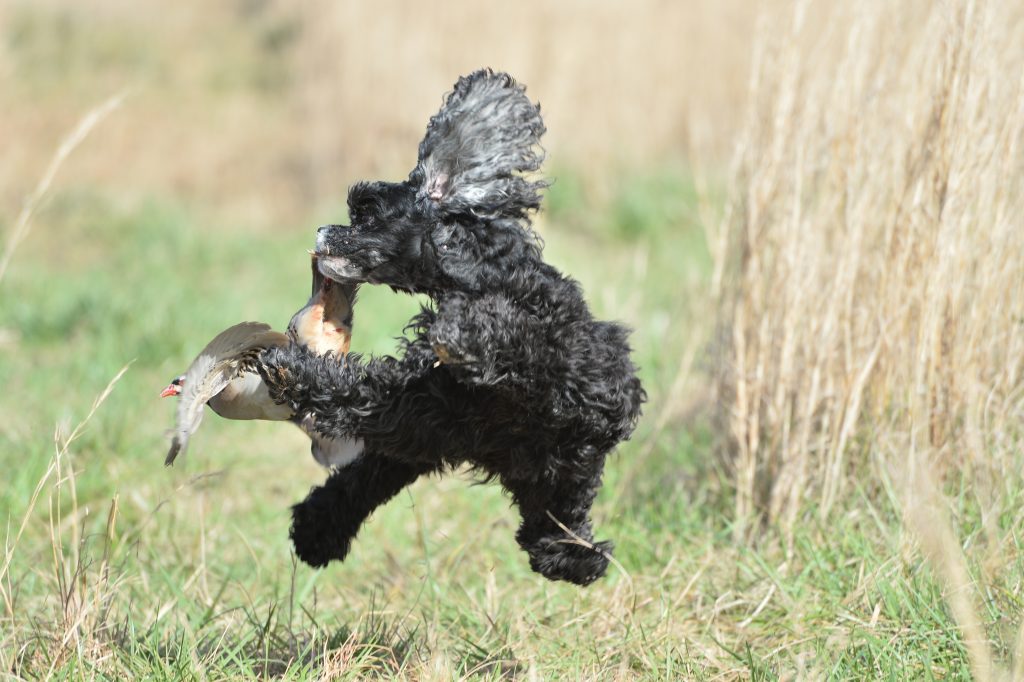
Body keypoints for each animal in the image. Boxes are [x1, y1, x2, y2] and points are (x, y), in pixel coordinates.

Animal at [264, 70, 643, 585]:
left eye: (365, 211)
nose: (321, 232)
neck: (474, 274)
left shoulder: (559, 354)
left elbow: (506, 332)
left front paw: (462, 334)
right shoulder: (418, 410)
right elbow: (353, 398)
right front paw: (288, 367)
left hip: (561, 466)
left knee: (555, 529)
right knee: (546, 535)